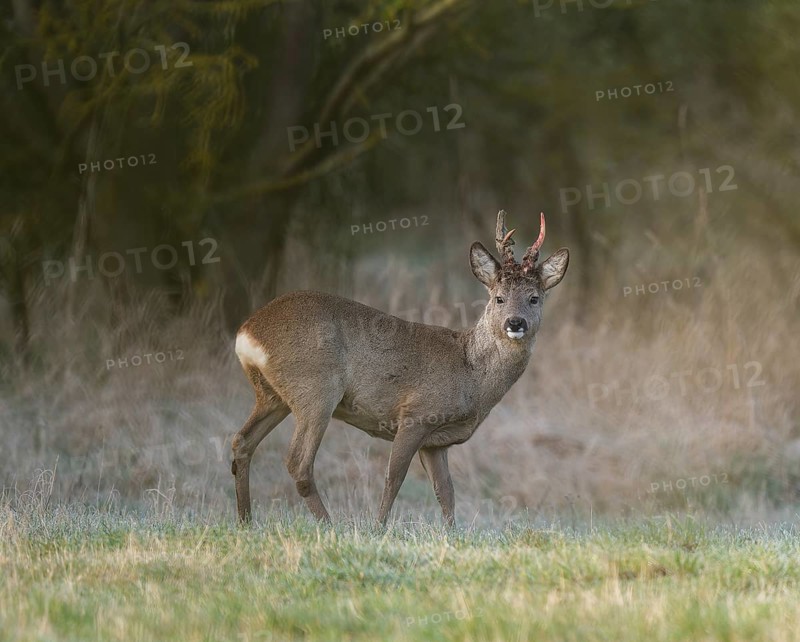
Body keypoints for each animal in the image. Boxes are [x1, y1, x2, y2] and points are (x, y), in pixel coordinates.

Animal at [231, 210, 569, 526]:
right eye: (499, 298)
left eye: (534, 298)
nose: (515, 322)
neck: (470, 374)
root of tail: (247, 333)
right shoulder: (415, 415)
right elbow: (394, 478)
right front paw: (378, 528)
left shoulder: (435, 442)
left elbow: (446, 492)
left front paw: (451, 534)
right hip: (316, 388)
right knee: (298, 462)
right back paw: (329, 526)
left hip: (273, 395)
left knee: (242, 442)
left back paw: (246, 521)